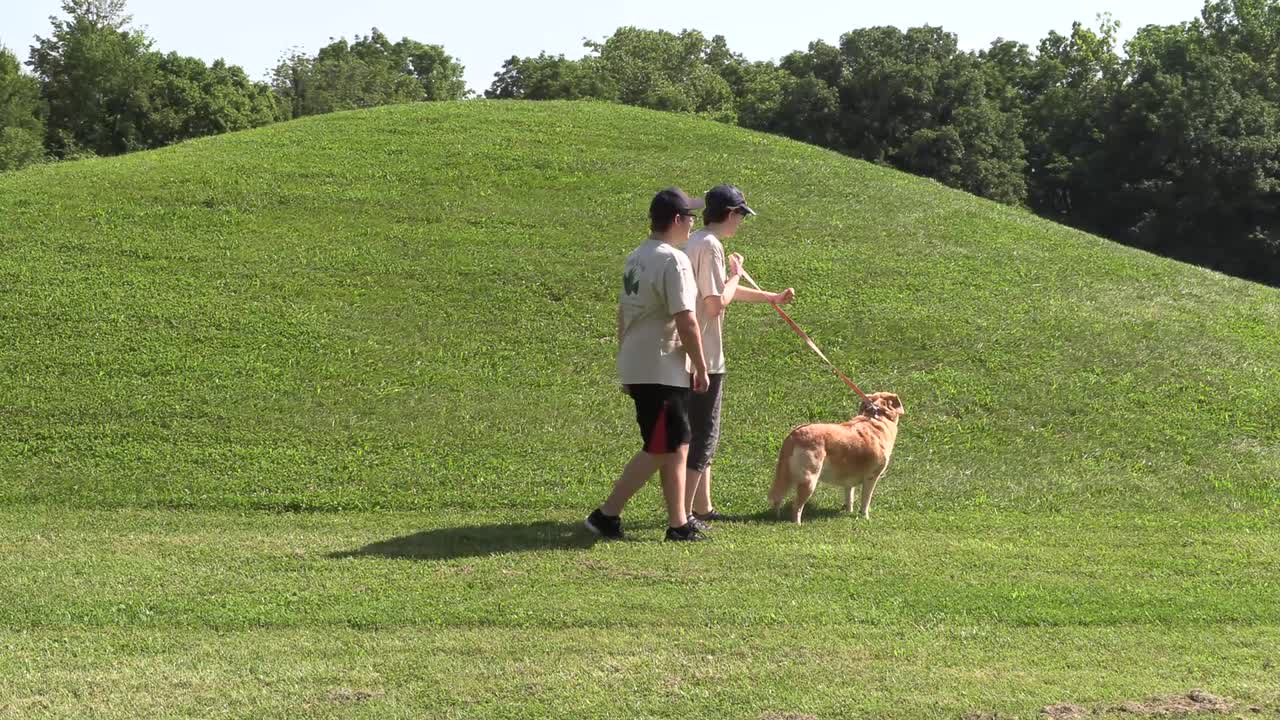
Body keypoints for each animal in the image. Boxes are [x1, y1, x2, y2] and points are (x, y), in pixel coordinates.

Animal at [762, 392, 906, 520]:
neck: (877, 417)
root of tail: (793, 436)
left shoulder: (849, 478)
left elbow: (849, 497)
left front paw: (848, 512)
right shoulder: (871, 477)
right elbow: (865, 501)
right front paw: (865, 517)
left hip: (786, 475)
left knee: (777, 498)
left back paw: (777, 518)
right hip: (809, 479)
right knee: (796, 507)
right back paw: (797, 525)